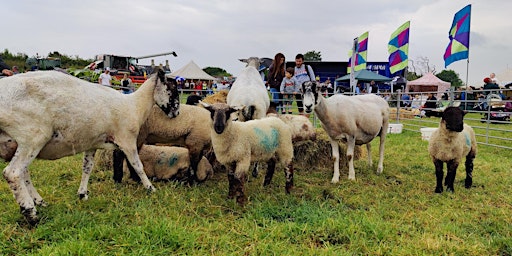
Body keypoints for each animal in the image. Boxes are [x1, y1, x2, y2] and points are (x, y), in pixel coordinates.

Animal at [0, 68, 180, 224]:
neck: (135, 105)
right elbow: (138, 166)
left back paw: (39, 201)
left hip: (20, 142)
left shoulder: (92, 144)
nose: (176, 114)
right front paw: (150, 188)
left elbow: (87, 168)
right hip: (33, 135)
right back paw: (30, 212)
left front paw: (82, 194)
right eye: (172, 89)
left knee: (24, 172)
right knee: (13, 173)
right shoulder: (127, 140)